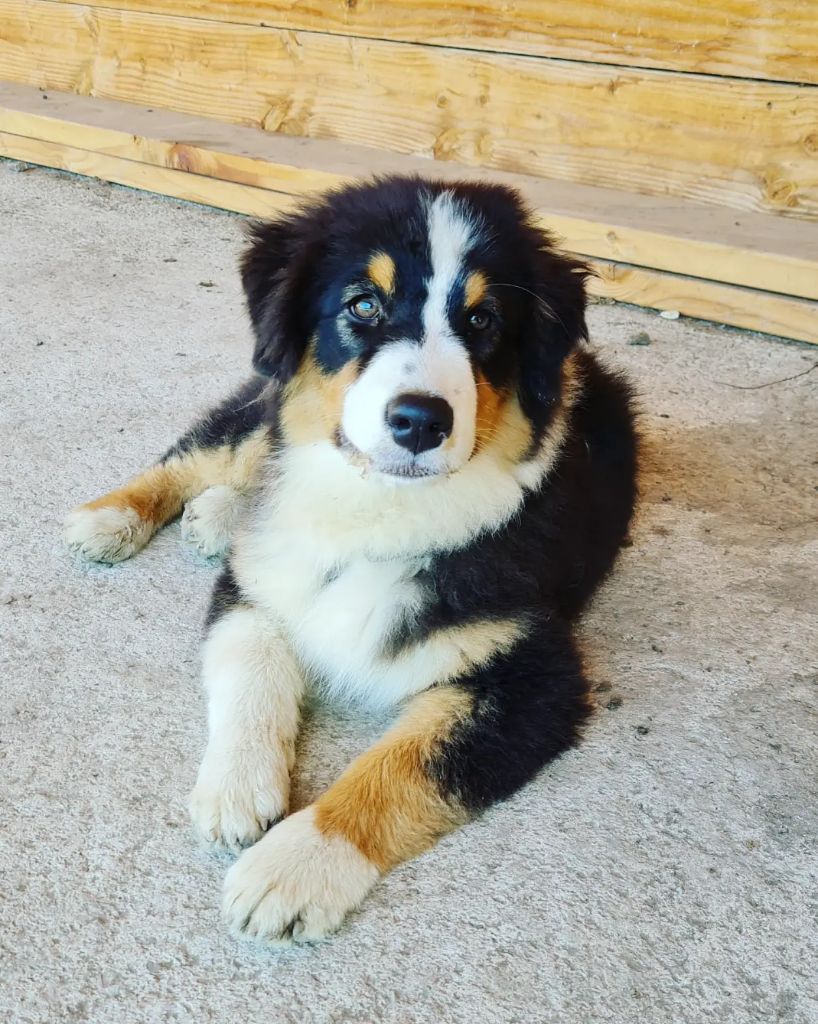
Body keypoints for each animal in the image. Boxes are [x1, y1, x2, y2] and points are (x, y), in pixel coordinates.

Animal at [64, 176, 638, 945]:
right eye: (363, 304)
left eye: (483, 320)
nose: (421, 421)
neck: (376, 511)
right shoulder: (254, 584)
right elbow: (251, 664)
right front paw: (235, 789)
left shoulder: (534, 679)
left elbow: (402, 766)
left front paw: (296, 864)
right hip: (260, 405)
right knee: (214, 449)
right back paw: (115, 517)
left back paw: (215, 516)